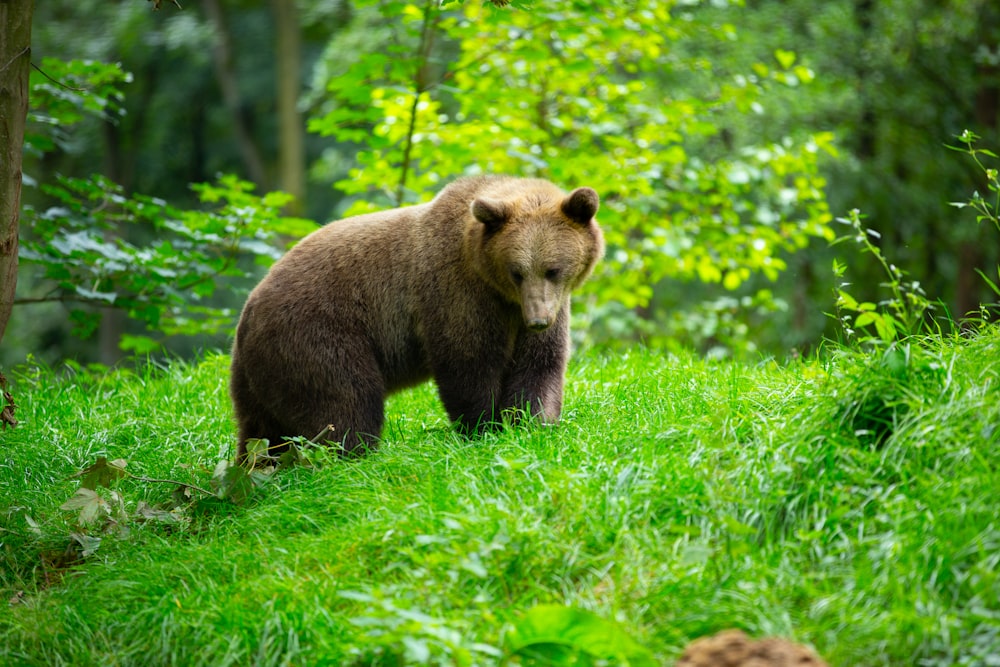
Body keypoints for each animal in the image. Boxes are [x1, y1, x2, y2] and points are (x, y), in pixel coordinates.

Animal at [228, 175, 600, 462]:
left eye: (553, 269)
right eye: (517, 272)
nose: (538, 320)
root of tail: (249, 308)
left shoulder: (543, 307)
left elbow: (539, 364)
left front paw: (531, 425)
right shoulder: (458, 292)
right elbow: (468, 361)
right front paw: (484, 427)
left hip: (260, 375)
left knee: (261, 429)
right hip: (318, 332)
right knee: (346, 401)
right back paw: (351, 457)